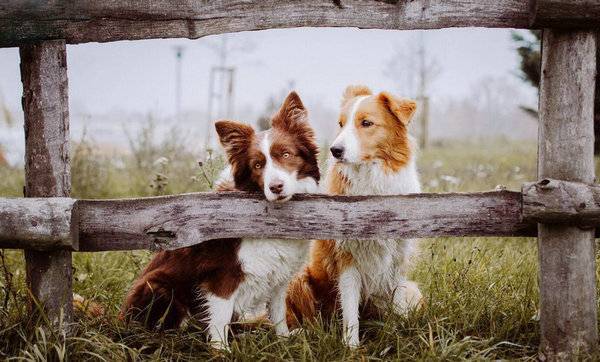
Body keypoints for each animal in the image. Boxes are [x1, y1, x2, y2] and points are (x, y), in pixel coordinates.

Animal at [119, 92, 322, 350]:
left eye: (286, 154)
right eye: (258, 165)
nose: (275, 187)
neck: (269, 217)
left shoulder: (278, 278)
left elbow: (278, 314)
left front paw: (283, 341)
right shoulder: (222, 278)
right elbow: (220, 320)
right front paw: (221, 351)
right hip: (159, 287)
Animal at [288, 85, 424, 348]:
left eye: (366, 123)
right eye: (341, 124)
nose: (335, 150)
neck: (371, 180)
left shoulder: (397, 260)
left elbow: (396, 302)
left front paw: (395, 336)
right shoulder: (347, 258)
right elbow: (350, 311)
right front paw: (351, 347)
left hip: (413, 291)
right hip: (298, 279)